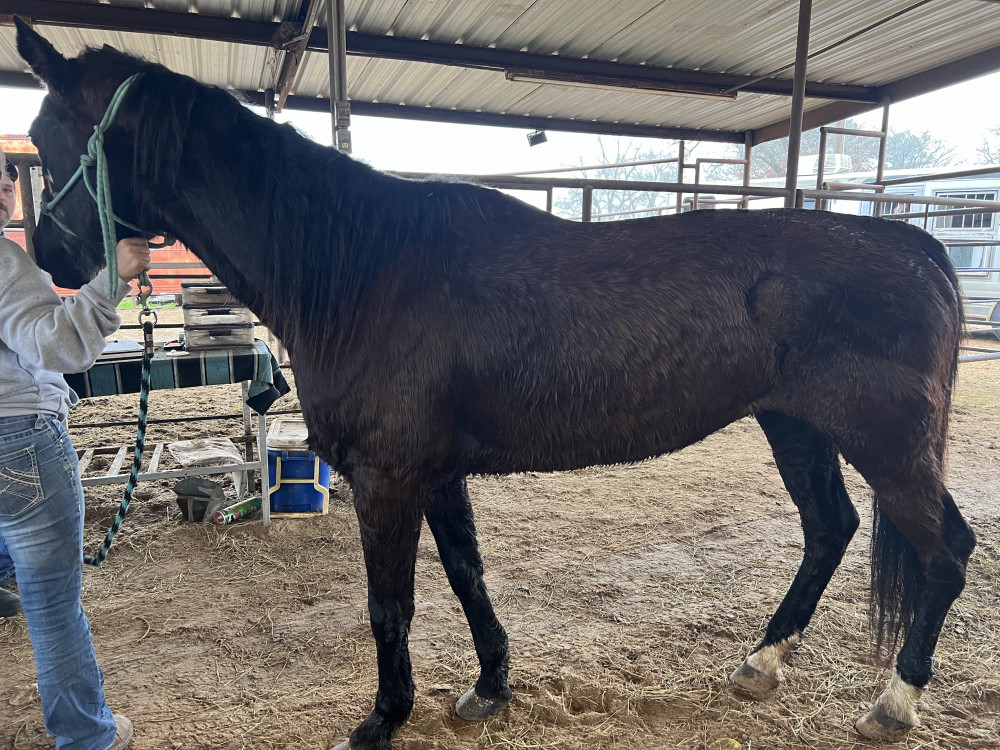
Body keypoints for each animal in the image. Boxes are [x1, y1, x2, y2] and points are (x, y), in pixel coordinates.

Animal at [15, 20, 976, 749]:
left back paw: (892, 704)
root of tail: (916, 247)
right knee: (830, 529)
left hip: (885, 442)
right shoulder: (436, 472)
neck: (362, 272)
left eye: (51, 141)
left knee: (944, 553)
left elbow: (391, 605)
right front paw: (489, 687)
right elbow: (468, 575)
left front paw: (382, 720)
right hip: (795, 425)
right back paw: (761, 663)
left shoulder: (389, 478)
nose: (51, 260)